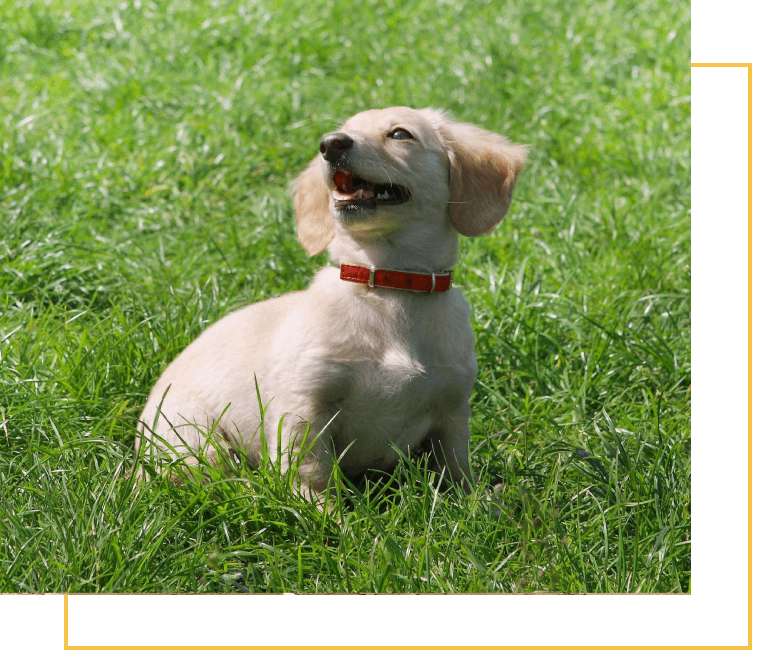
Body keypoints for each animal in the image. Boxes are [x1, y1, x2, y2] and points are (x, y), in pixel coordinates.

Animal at [136, 106, 528, 502]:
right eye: (342, 130)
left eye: (400, 134)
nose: (330, 144)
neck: (387, 285)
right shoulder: (305, 405)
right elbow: (312, 472)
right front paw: (323, 512)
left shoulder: (452, 409)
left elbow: (455, 470)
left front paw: (476, 503)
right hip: (195, 438)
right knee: (209, 478)